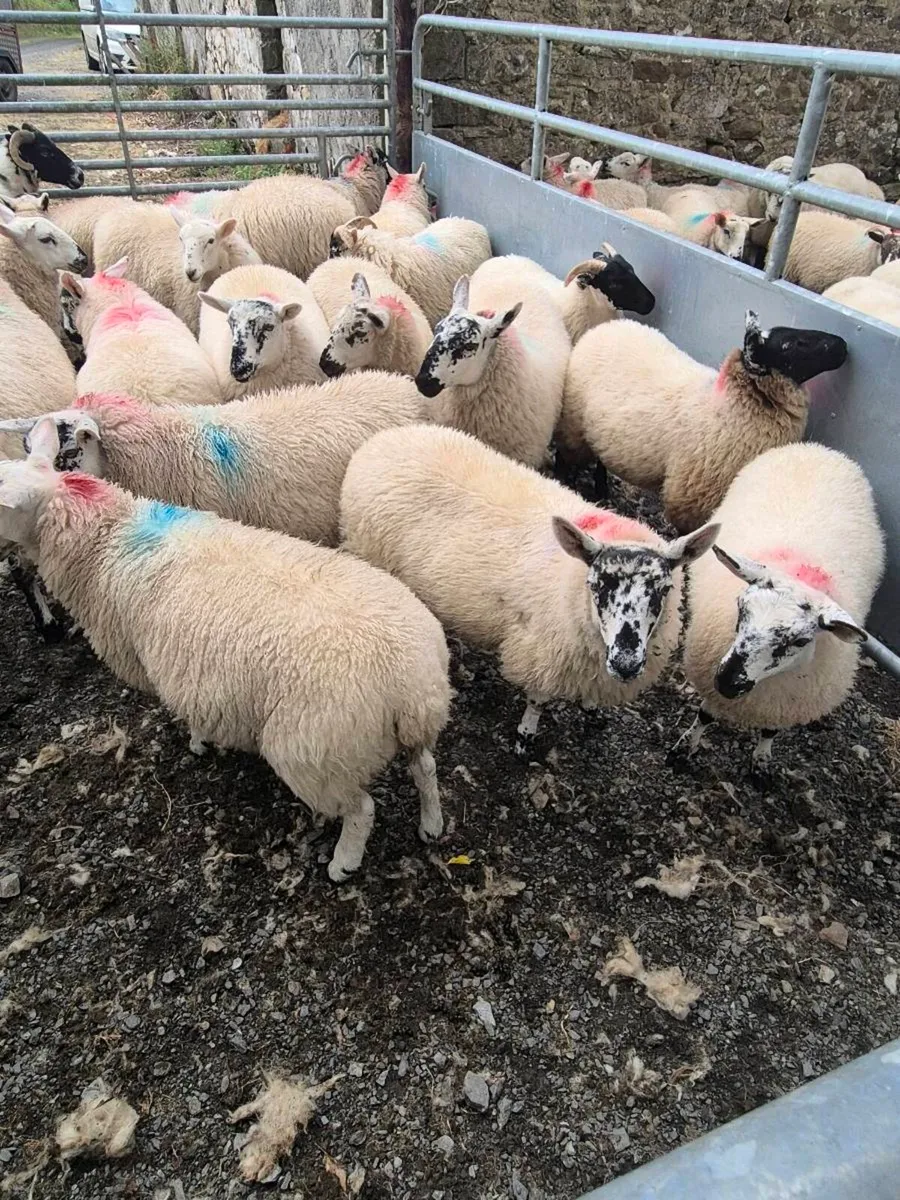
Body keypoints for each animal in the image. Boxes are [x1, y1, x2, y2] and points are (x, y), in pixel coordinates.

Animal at [0, 418, 452, 883]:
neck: (107, 539)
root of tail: (412, 684)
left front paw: (200, 742)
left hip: (316, 753)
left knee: (362, 809)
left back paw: (343, 862)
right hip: (403, 732)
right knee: (425, 767)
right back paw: (431, 825)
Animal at [341, 421, 719, 755]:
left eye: (664, 588)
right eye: (596, 584)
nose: (626, 663)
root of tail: (381, 440)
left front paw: (592, 710)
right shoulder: (543, 651)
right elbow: (537, 700)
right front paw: (525, 738)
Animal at [559, 310, 848, 533]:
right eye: (795, 344)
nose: (843, 345)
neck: (728, 403)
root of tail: (606, 327)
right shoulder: (691, 498)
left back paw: (601, 489)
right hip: (573, 426)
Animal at [680, 443, 884, 771]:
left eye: (800, 641)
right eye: (741, 610)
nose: (728, 682)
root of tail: (816, 448)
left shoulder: (783, 704)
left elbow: (770, 732)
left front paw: (762, 761)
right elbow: (705, 715)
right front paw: (686, 748)